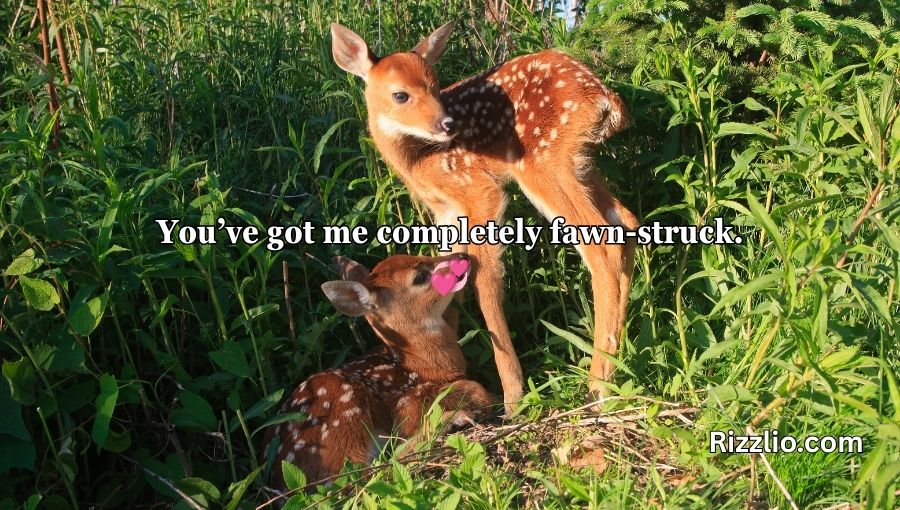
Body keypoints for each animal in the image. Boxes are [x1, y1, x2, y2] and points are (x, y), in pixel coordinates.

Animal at [263, 253, 495, 490]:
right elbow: (470, 391)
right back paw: (453, 419)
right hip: (345, 413)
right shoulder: (405, 400)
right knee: (362, 475)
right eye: (419, 277)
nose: (462, 256)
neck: (420, 365)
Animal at [330, 22, 639, 415]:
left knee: (603, 245)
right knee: (626, 224)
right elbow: (449, 278)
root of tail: (602, 95)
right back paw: (616, 364)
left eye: (435, 84)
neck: (419, 160)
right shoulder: (446, 212)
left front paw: (512, 397)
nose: (446, 123)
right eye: (400, 95)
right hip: (580, 163)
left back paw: (597, 388)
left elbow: (483, 280)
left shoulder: (479, 190)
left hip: (543, 162)